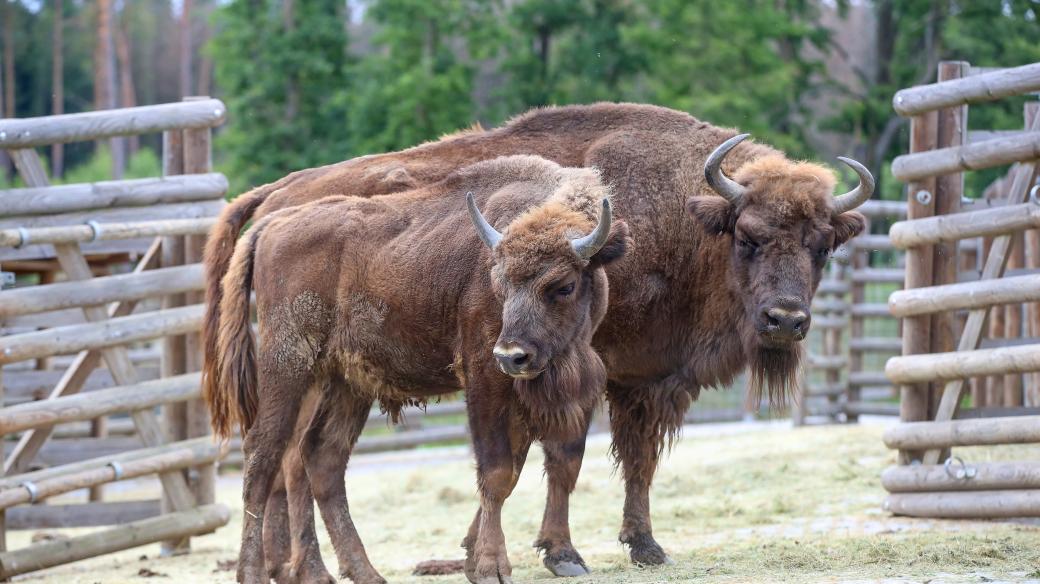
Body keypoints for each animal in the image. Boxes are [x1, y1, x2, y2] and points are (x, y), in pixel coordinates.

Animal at [202, 101, 869, 577]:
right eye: (749, 236)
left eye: (821, 245)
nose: (785, 320)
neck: (683, 216)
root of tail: (279, 197)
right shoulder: (583, 373)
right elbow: (542, 456)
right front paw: (542, 551)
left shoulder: (639, 379)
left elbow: (624, 460)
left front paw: (643, 545)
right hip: (299, 367)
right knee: (283, 458)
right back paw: (291, 568)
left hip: (348, 377)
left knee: (310, 459)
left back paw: (312, 569)